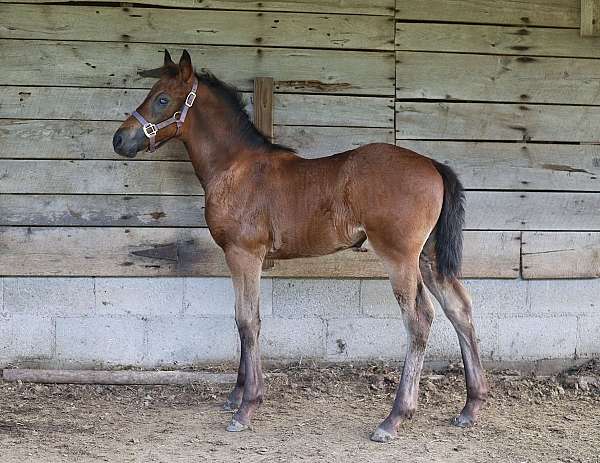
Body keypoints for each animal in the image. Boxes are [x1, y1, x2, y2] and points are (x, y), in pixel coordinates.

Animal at [112, 49, 488, 442]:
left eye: (162, 99)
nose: (120, 140)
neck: (236, 167)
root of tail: (431, 163)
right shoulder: (243, 258)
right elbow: (242, 318)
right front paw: (235, 396)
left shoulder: (244, 254)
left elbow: (248, 321)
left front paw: (247, 407)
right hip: (429, 258)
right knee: (459, 308)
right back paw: (470, 407)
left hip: (400, 258)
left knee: (419, 319)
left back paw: (395, 417)